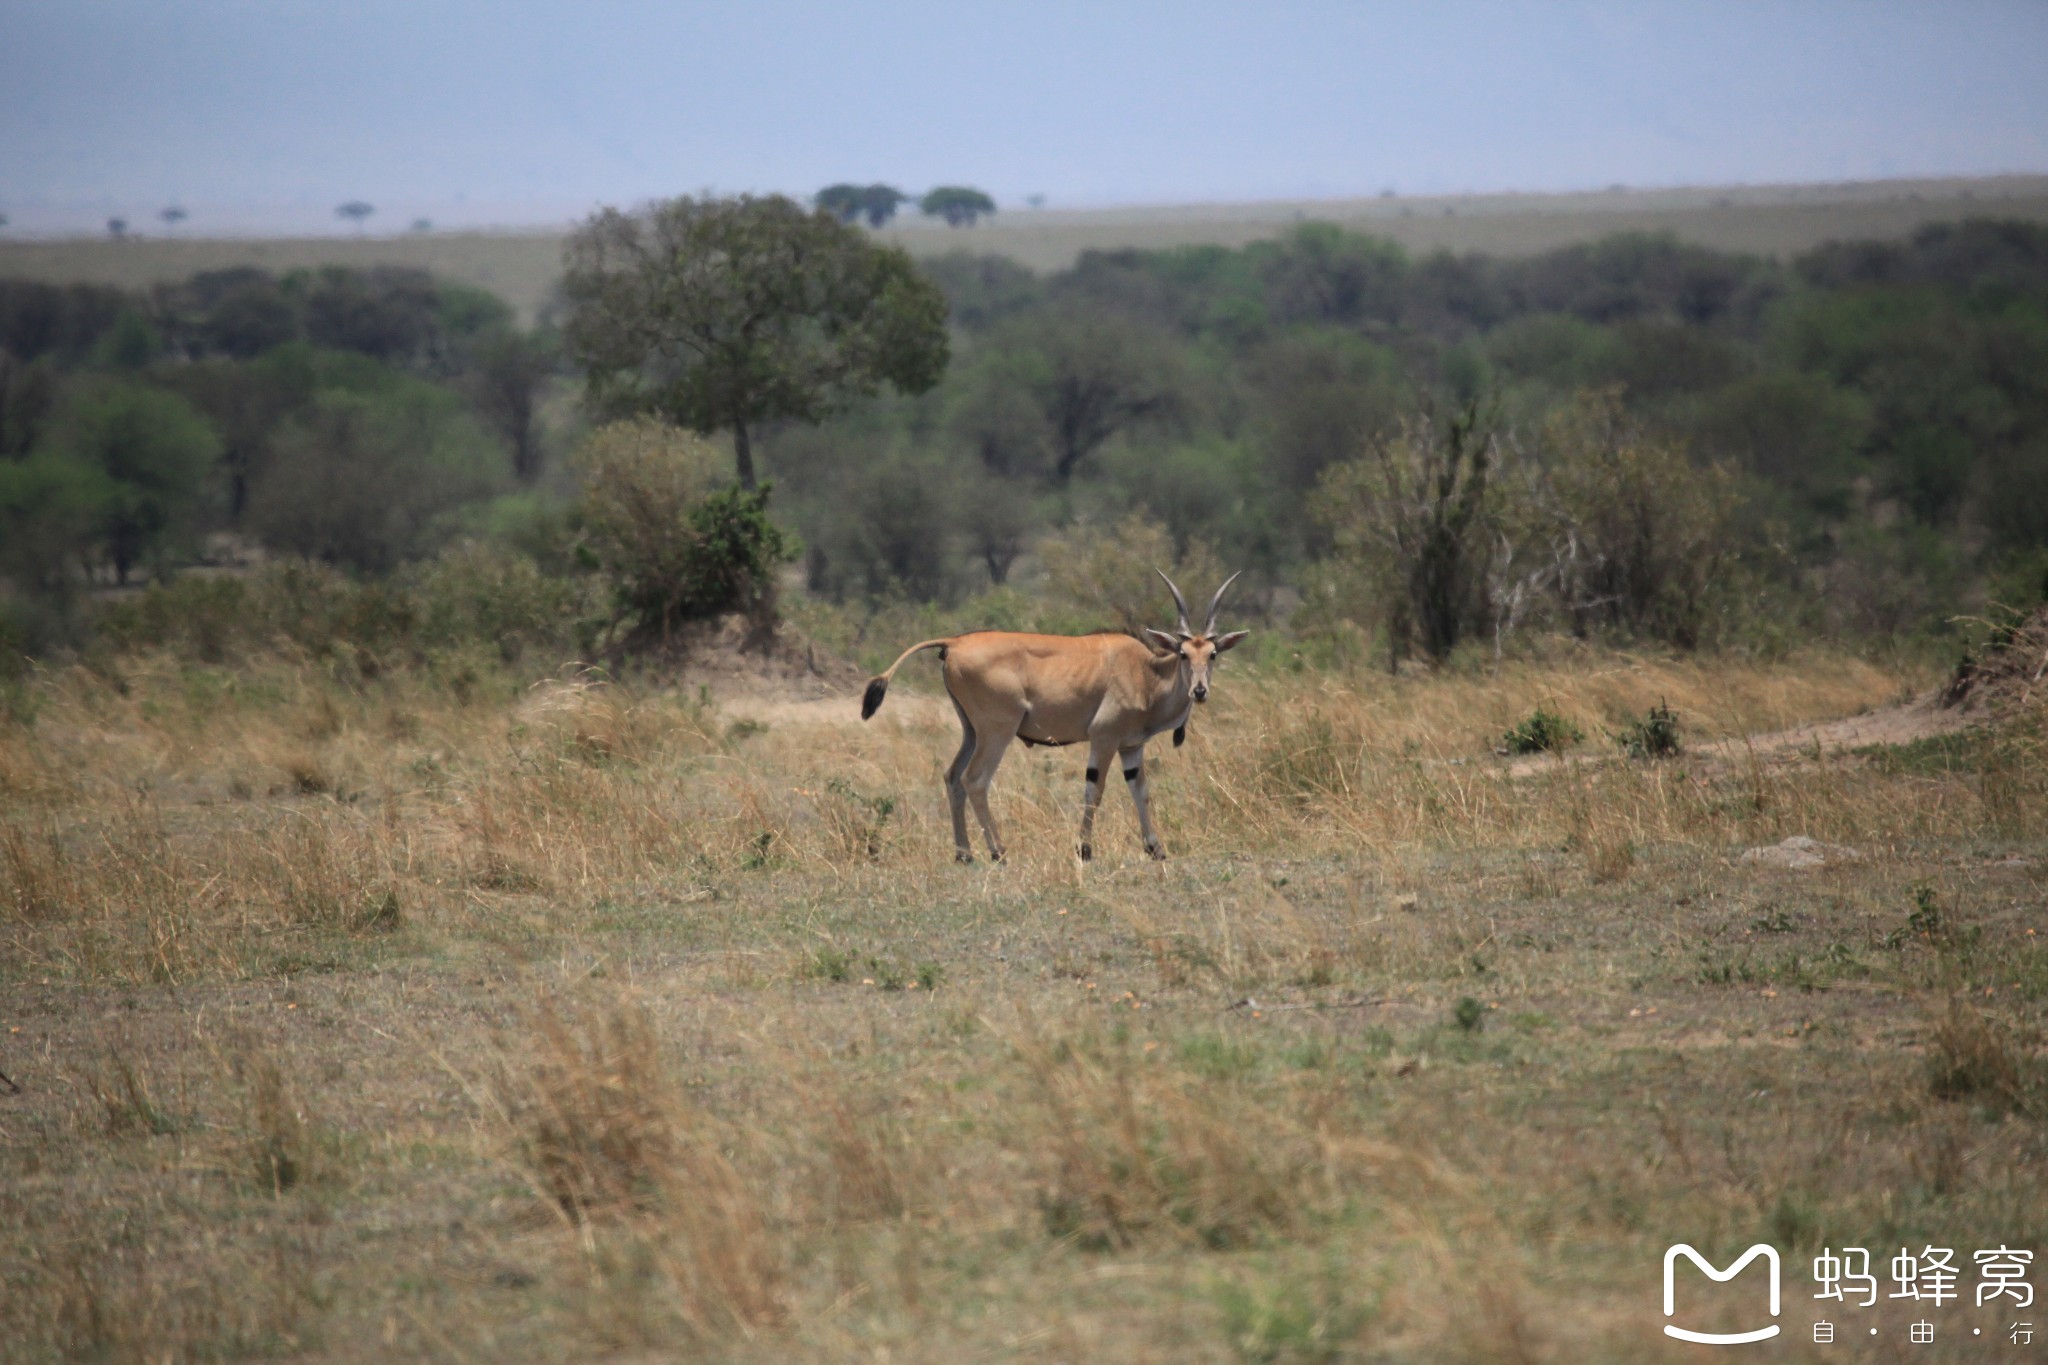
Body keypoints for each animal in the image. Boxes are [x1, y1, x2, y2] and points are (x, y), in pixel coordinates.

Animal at [851, 573, 1236, 859]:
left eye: (1212, 653)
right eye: (1184, 653)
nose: (1199, 691)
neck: (1147, 672)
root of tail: (954, 643)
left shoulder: (1131, 747)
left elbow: (1140, 791)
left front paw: (1155, 848)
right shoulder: (1104, 738)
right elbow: (1094, 791)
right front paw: (1084, 849)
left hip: (971, 730)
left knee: (952, 777)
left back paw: (964, 853)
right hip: (997, 731)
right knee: (974, 779)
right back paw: (999, 851)